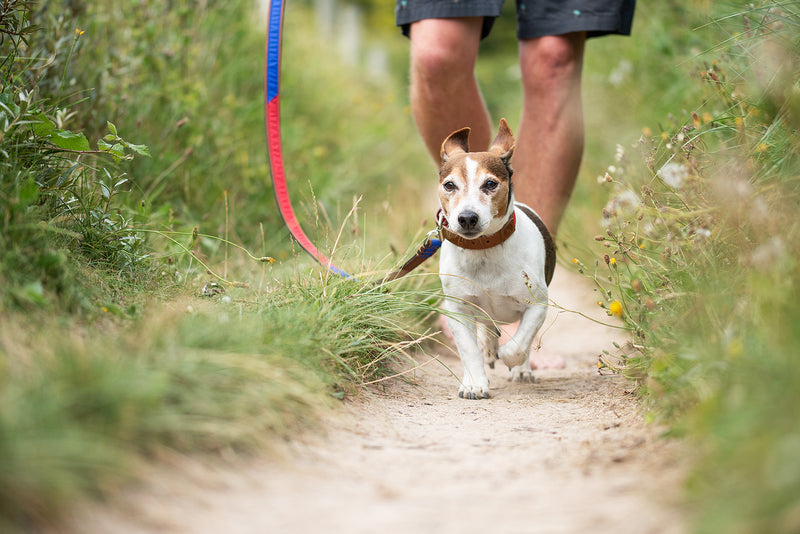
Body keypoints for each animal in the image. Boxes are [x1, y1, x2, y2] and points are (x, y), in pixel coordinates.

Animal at [438, 118, 556, 402]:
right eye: (449, 185)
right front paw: (474, 384)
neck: (483, 248)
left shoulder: (537, 305)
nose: (467, 218)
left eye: (490, 184)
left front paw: (512, 359)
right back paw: (489, 346)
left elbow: (519, 345)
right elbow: (468, 350)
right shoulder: (457, 309)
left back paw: (519, 368)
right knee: (486, 326)